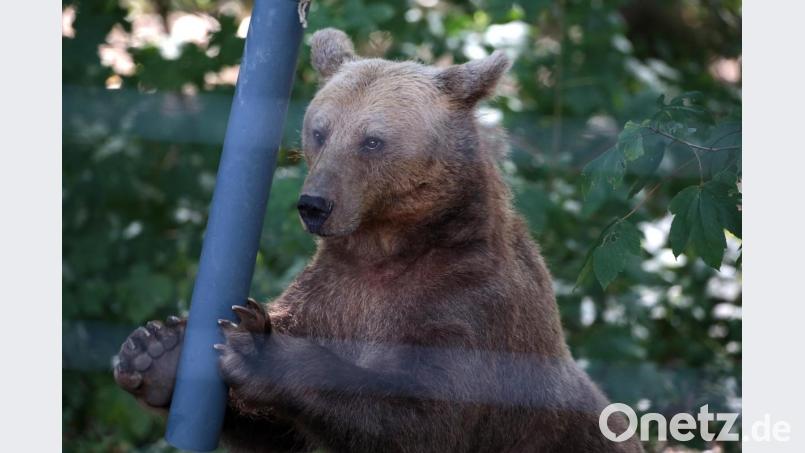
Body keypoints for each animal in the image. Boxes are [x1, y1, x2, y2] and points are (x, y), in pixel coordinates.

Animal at [114, 28, 643, 453]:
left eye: (372, 140)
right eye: (319, 131)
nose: (315, 204)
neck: (387, 246)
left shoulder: (470, 307)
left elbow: (421, 416)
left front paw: (258, 348)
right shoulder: (331, 295)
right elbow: (279, 431)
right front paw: (156, 351)